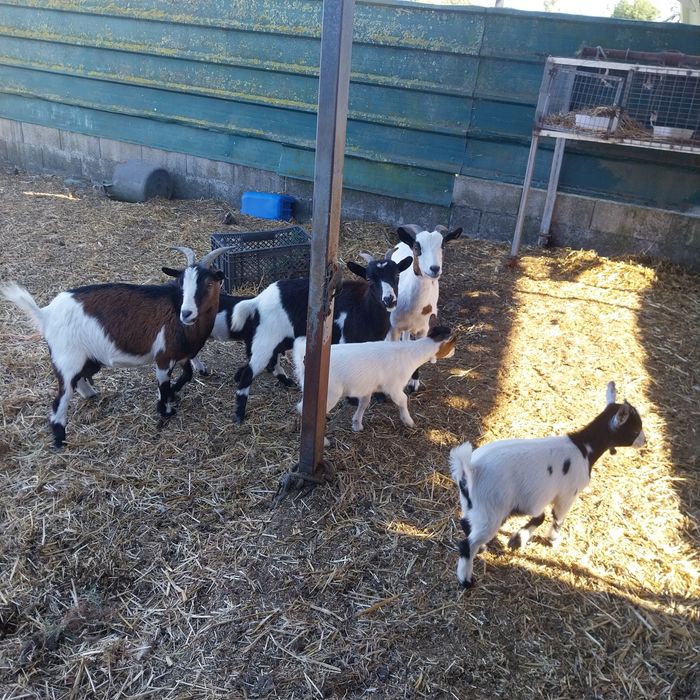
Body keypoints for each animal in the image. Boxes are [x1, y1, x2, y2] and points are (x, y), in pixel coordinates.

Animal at [0, 246, 230, 448]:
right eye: (181, 284)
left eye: (209, 284)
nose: (186, 313)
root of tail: (45, 313)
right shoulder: (163, 357)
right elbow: (163, 386)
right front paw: (165, 410)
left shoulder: (181, 355)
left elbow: (187, 375)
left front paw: (174, 393)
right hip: (67, 358)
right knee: (60, 400)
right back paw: (59, 441)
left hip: (86, 358)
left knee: (78, 380)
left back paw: (91, 395)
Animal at [226, 251, 413, 424]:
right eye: (369, 279)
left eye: (397, 275)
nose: (389, 300)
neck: (363, 309)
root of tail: (258, 299)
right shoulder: (348, 340)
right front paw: (353, 399)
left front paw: (379, 396)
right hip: (267, 338)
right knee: (250, 372)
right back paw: (239, 414)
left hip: (279, 338)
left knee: (271, 361)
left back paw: (286, 381)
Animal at [294, 326, 456, 432]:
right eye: (452, 345)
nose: (454, 352)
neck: (411, 353)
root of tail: (304, 358)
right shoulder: (394, 387)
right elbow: (403, 400)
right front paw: (408, 421)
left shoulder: (367, 387)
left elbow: (364, 403)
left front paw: (357, 425)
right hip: (329, 393)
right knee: (303, 408)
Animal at [388, 225, 462, 391]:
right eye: (417, 247)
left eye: (442, 246)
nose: (434, 268)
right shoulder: (394, 327)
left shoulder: (424, 329)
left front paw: (414, 382)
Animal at [449, 382, 646, 588]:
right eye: (635, 430)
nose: (645, 441)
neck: (584, 448)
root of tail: (469, 469)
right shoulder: (566, 495)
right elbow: (556, 518)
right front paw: (552, 540)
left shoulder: (531, 499)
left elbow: (539, 517)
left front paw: (518, 539)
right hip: (491, 509)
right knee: (466, 544)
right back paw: (466, 580)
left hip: (472, 505)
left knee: (465, 522)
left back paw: (481, 549)